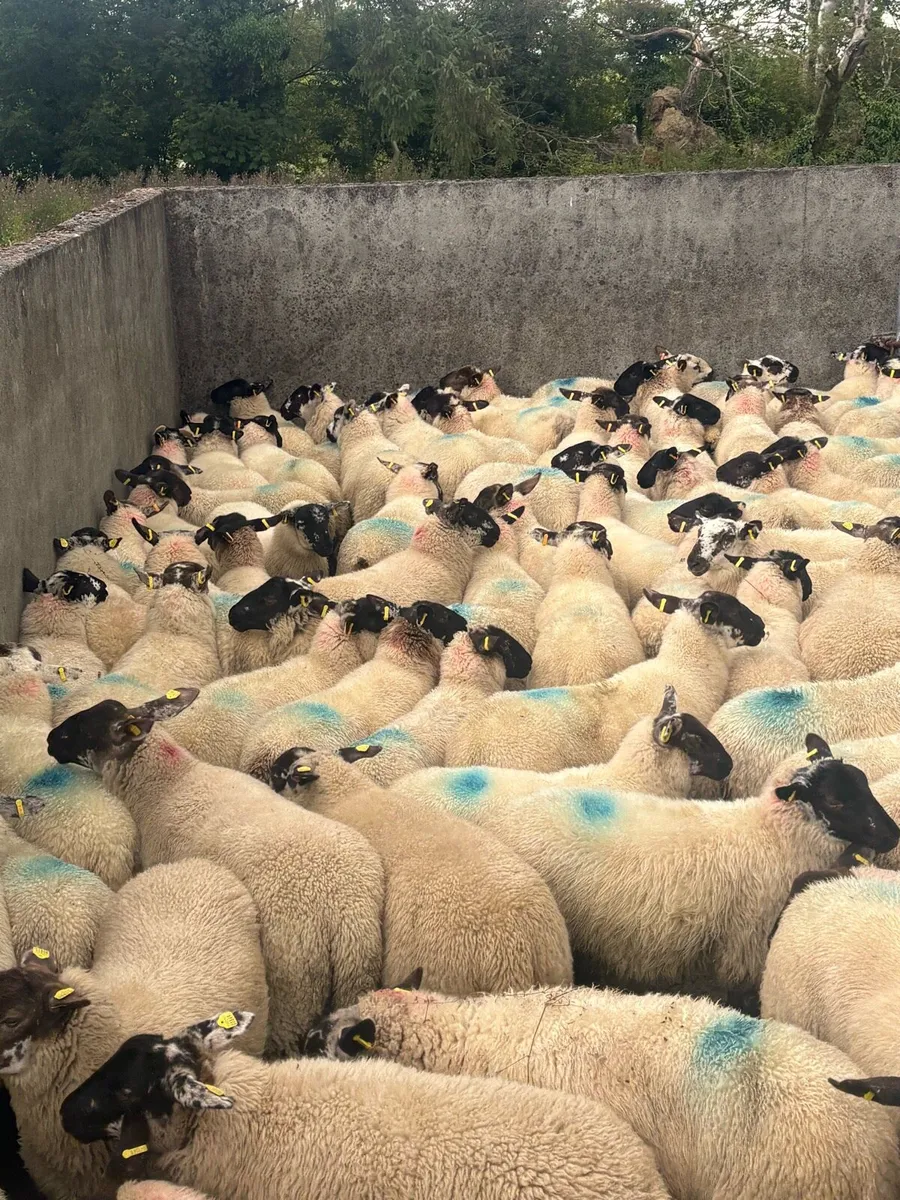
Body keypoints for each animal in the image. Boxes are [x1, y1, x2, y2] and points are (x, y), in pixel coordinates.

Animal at [48, 689, 384, 1054]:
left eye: (85, 729)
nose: (50, 740)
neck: (169, 784)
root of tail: (346, 911)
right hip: (355, 973)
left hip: (294, 987)